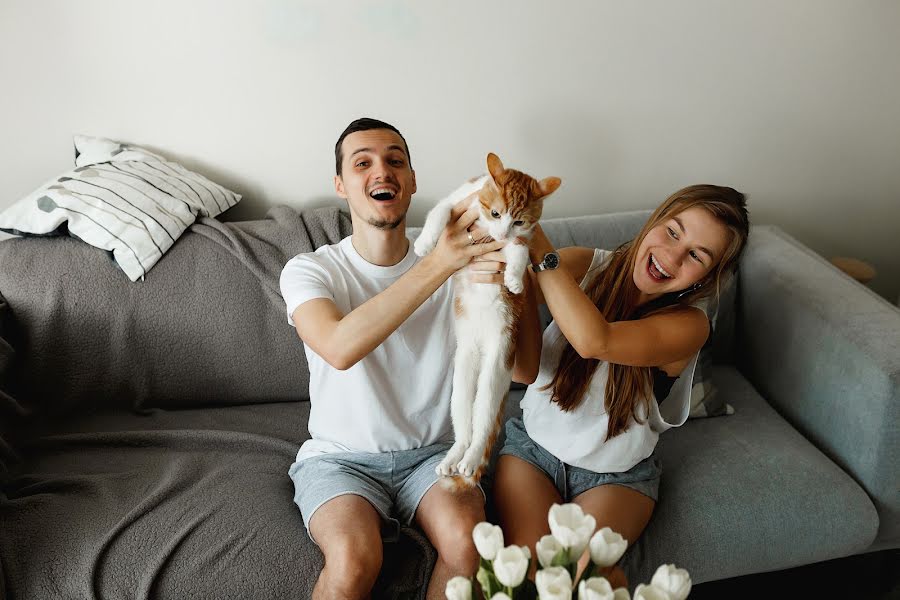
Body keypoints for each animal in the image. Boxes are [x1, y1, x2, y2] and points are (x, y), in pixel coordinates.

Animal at [416, 154, 564, 482]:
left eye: (519, 221)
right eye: (496, 213)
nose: (502, 232)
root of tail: (483, 348)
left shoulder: (519, 241)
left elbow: (518, 253)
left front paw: (515, 280)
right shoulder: (456, 201)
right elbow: (439, 212)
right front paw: (425, 242)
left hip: (496, 371)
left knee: (482, 424)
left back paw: (469, 461)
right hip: (461, 377)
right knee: (464, 425)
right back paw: (453, 456)